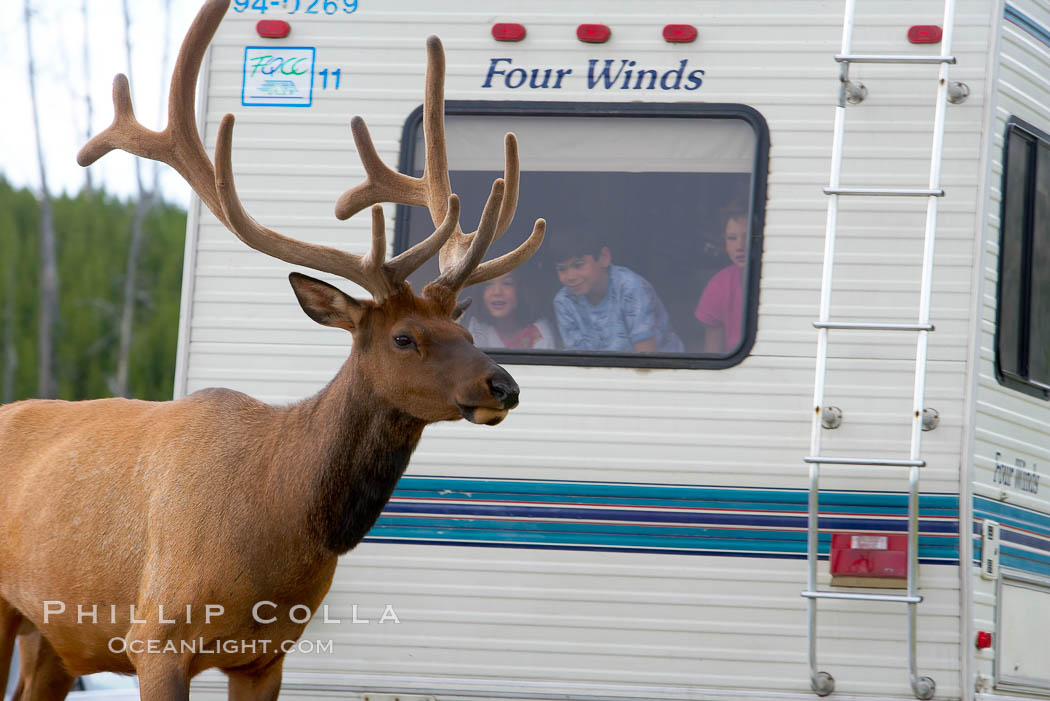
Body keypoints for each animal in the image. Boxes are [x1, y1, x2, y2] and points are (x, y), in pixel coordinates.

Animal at [0, 2, 546, 696]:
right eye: (405, 337)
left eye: (468, 334)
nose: (504, 385)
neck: (276, 518)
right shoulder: (156, 639)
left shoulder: (269, 655)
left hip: (53, 637)